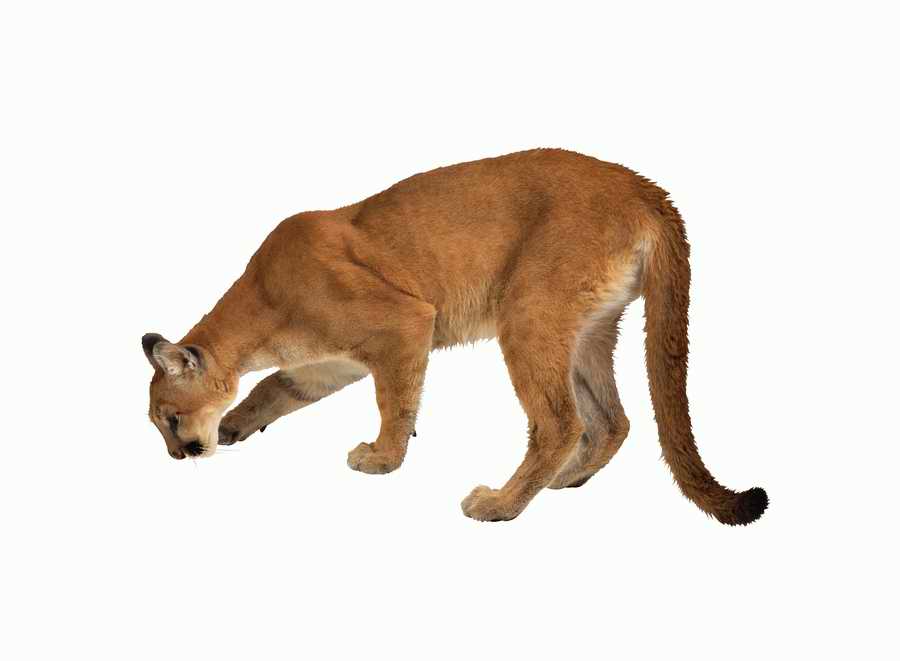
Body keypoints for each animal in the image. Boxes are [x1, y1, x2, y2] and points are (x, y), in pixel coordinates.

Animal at [143, 149, 767, 524]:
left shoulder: (403, 322)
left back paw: (500, 504)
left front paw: (381, 459)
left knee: (561, 422)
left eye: (171, 419)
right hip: (588, 329)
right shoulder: (327, 364)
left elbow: (395, 401)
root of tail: (643, 187)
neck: (261, 307)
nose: (176, 456)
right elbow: (271, 388)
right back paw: (568, 480)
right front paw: (235, 424)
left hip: (527, 314)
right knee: (613, 420)